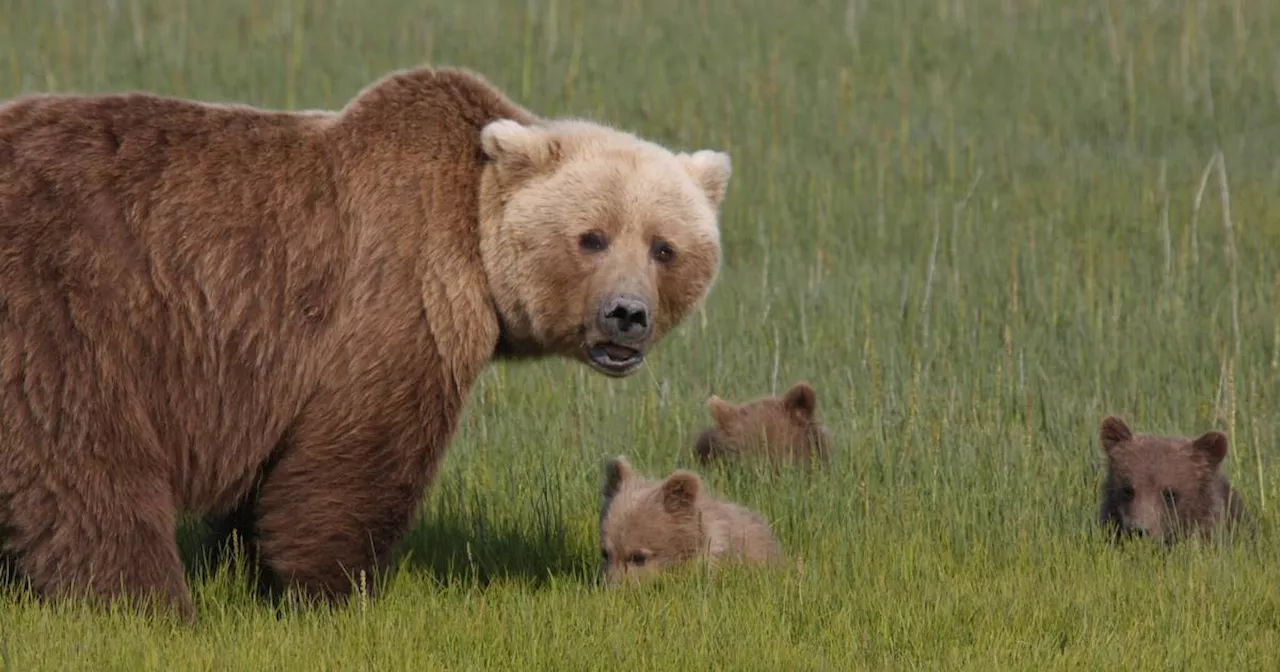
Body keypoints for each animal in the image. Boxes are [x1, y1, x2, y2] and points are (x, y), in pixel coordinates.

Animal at [0, 68, 732, 619]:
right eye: (592, 237)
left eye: (664, 246)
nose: (626, 315)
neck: (474, 243)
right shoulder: (399, 297)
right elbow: (357, 456)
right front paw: (330, 591)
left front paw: (244, 562)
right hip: (70, 304)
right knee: (84, 458)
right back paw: (147, 600)